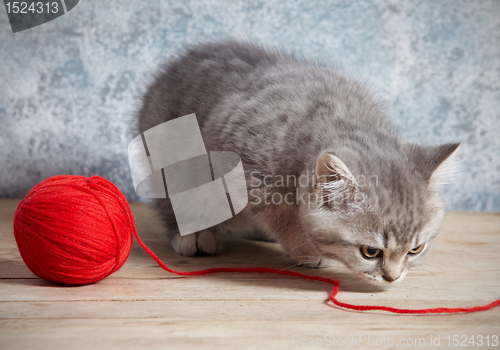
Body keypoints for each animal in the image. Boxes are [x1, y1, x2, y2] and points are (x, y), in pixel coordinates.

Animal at [136, 41, 458, 286]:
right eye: (370, 251)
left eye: (416, 249)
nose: (393, 277)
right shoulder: (244, 166)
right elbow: (280, 213)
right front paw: (303, 247)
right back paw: (193, 234)